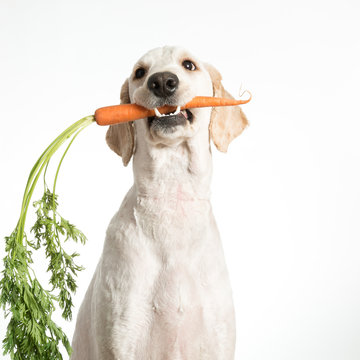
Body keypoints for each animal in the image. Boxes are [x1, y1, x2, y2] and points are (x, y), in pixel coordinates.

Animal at [71, 46, 249, 358]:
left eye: (189, 65)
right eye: (140, 73)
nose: (163, 81)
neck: (171, 196)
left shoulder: (217, 340)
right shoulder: (120, 339)